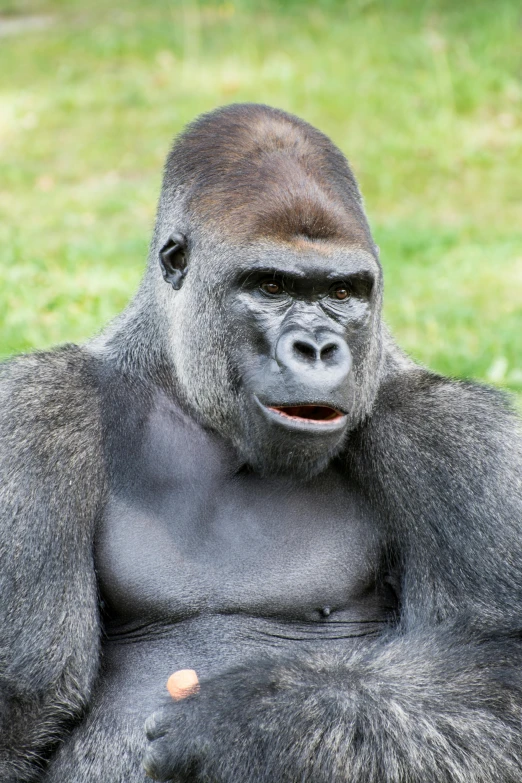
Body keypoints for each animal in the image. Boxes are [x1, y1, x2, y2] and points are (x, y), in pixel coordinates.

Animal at [1, 104, 520, 783]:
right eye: (270, 287)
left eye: (343, 293)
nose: (318, 348)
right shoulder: (31, 419)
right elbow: (22, 704)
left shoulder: (459, 439)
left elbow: (497, 675)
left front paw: (257, 718)